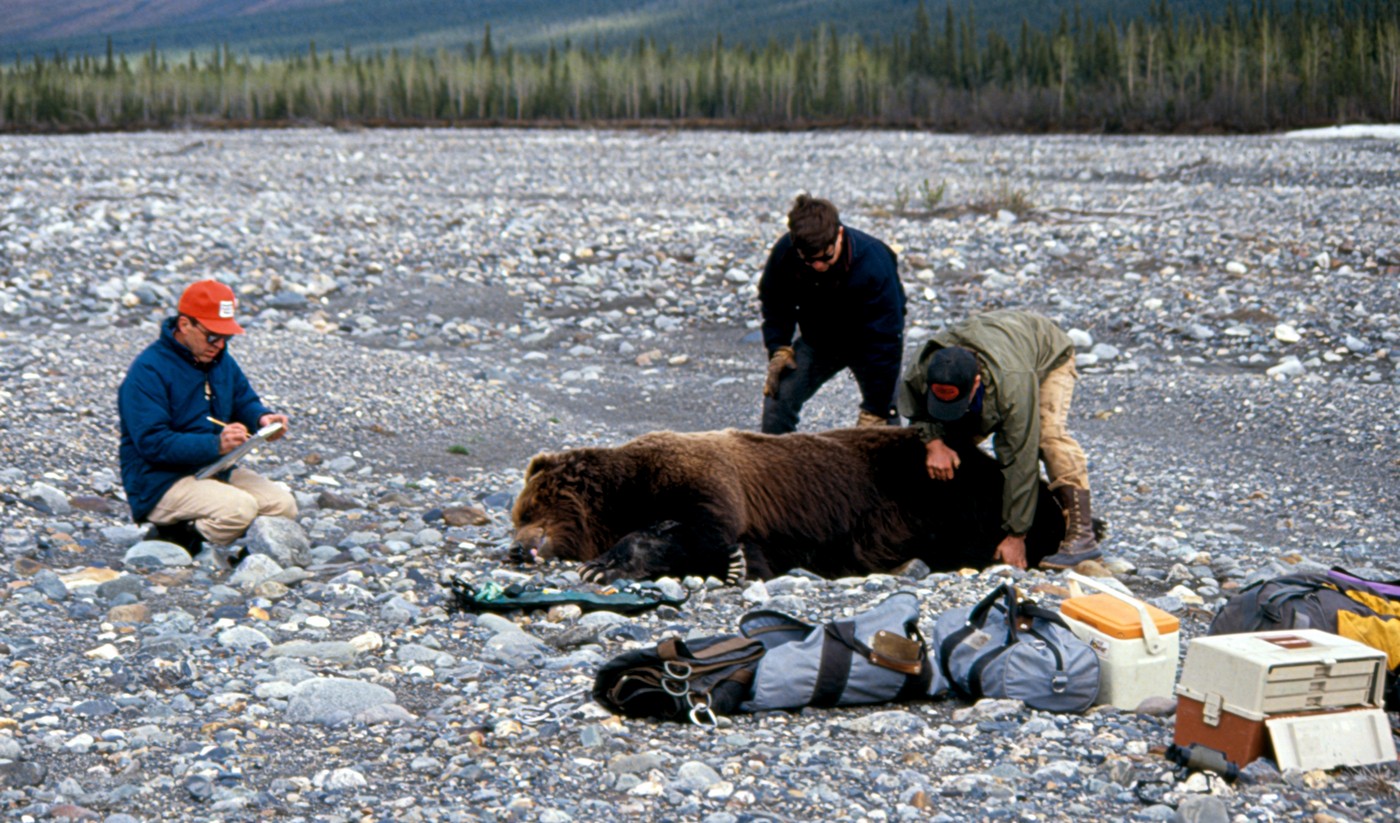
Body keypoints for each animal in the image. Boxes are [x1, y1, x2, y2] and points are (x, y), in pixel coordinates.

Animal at [509, 428, 1064, 582]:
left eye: (526, 512)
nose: (513, 548)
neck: (626, 491)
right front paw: (736, 564)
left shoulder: (701, 478)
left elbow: (701, 525)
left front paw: (605, 564)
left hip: (938, 485)